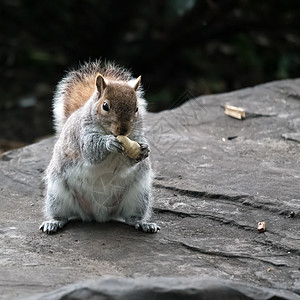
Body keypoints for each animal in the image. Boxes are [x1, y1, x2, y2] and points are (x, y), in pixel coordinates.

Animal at [41, 60, 161, 234]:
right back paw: (54, 222)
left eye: (137, 108)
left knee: (131, 217)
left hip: (138, 195)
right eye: (105, 106)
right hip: (58, 194)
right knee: (62, 215)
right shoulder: (82, 135)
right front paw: (109, 143)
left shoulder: (136, 137)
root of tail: (98, 215)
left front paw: (144, 149)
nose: (123, 130)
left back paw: (143, 223)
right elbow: (91, 150)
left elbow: (130, 160)